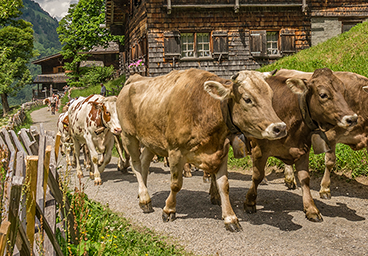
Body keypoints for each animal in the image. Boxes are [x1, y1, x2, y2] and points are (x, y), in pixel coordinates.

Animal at [116, 68, 288, 232]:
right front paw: (168, 210)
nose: (280, 127)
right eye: (247, 99)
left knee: (144, 162)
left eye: (271, 96)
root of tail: (135, 79)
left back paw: (142, 193)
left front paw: (230, 218)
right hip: (129, 136)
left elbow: (224, 185)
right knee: (136, 164)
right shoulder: (175, 151)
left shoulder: (221, 151)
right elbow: (176, 184)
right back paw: (145, 199)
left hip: (151, 140)